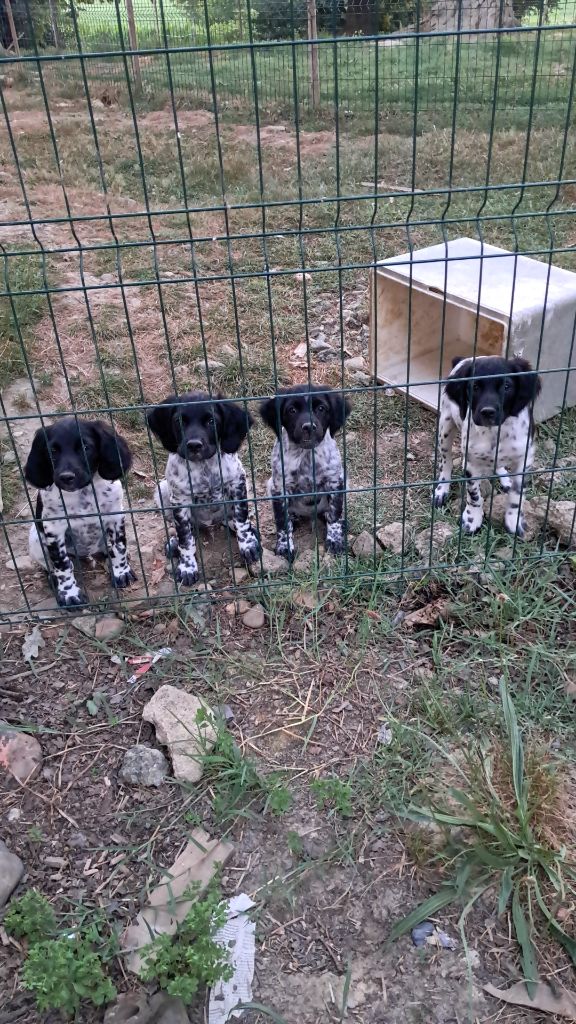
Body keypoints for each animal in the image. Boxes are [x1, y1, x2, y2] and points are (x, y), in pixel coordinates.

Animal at [25, 418, 135, 607]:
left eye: (85, 447)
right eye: (52, 451)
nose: (66, 477)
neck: (84, 492)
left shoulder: (115, 515)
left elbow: (119, 547)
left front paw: (122, 572)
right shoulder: (54, 528)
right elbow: (62, 564)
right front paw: (69, 594)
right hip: (35, 540)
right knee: (51, 566)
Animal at [147, 392, 261, 585]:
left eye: (211, 421)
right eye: (179, 421)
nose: (194, 445)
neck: (204, 467)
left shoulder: (237, 482)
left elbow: (241, 519)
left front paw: (248, 545)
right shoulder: (180, 500)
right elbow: (185, 537)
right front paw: (187, 567)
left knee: (231, 519)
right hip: (162, 491)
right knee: (187, 530)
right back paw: (174, 543)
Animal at [260, 384, 351, 560]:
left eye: (321, 408)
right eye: (292, 410)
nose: (309, 427)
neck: (306, 455)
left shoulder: (335, 481)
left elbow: (334, 514)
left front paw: (335, 540)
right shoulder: (279, 488)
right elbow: (282, 523)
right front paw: (284, 547)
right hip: (269, 485)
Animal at [433, 355, 541, 538]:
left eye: (506, 386)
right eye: (474, 386)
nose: (487, 412)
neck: (495, 432)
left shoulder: (525, 458)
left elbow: (517, 495)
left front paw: (514, 521)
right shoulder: (471, 463)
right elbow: (474, 495)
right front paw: (472, 520)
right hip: (445, 428)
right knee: (446, 462)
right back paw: (442, 489)